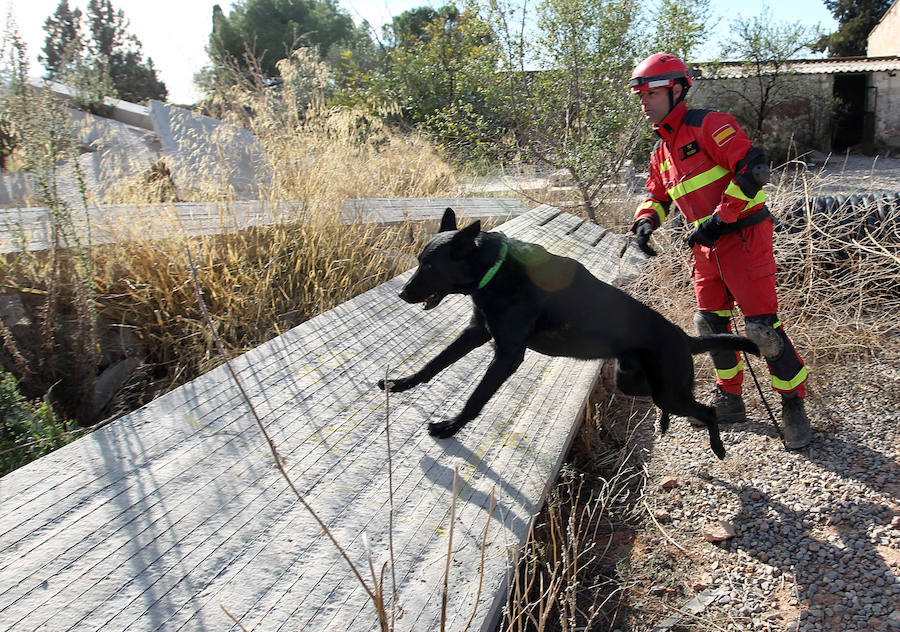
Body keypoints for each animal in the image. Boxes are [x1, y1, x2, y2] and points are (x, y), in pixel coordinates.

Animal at [380, 209, 760, 460]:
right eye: (419, 261)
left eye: (430, 266)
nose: (401, 295)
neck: (496, 270)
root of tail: (683, 338)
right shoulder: (476, 332)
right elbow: (434, 364)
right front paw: (400, 383)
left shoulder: (507, 355)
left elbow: (476, 398)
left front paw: (452, 426)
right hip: (634, 383)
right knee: (669, 404)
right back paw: (667, 424)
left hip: (667, 390)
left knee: (707, 411)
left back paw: (718, 448)